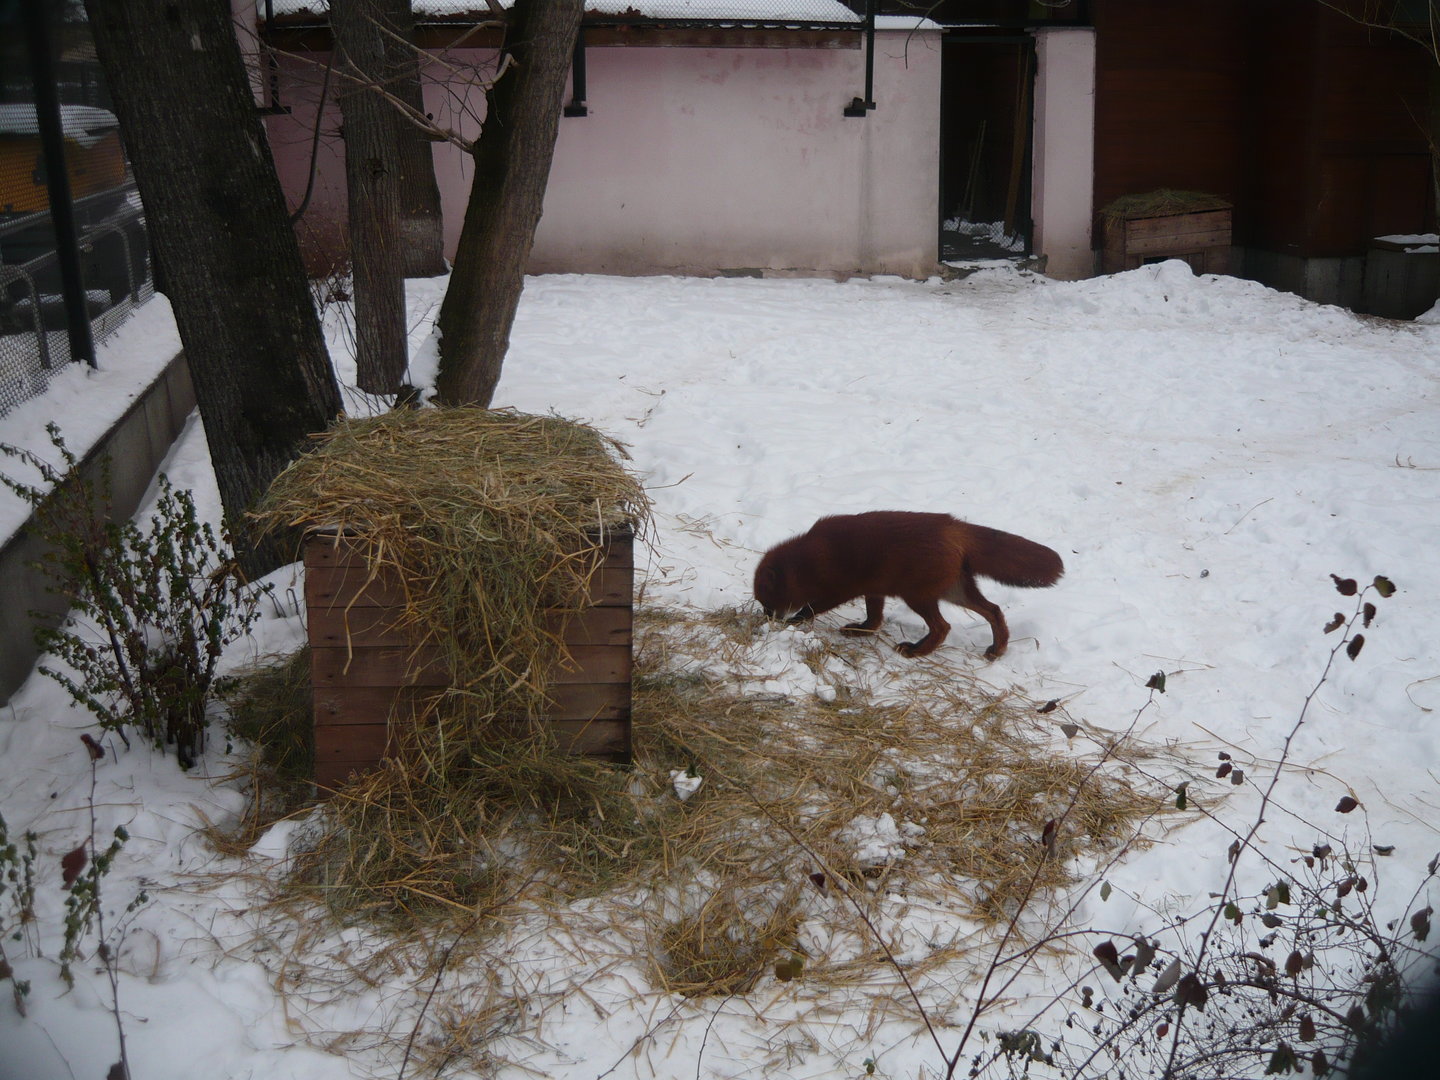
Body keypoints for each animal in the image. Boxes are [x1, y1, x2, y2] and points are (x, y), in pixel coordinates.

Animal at [753, 511, 1064, 660]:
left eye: (766, 603)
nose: (766, 619)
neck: (808, 559)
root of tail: (955, 527)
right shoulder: (873, 589)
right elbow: (874, 619)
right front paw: (860, 631)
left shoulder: (840, 590)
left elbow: (808, 610)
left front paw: (792, 623)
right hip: (954, 591)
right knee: (995, 611)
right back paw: (997, 650)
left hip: (918, 596)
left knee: (943, 627)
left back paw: (916, 651)